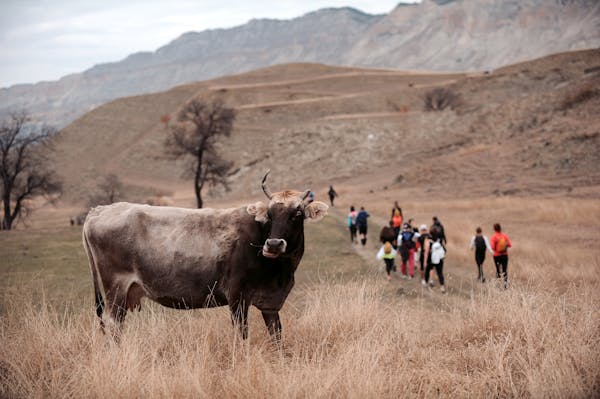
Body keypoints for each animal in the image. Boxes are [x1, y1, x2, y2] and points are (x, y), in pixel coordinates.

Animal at [82, 172, 328, 340]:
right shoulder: (237, 297)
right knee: (112, 325)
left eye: (297, 214)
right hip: (116, 289)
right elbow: (241, 336)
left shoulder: (270, 305)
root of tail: (99, 210)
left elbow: (276, 336)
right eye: (269, 214)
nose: (274, 244)